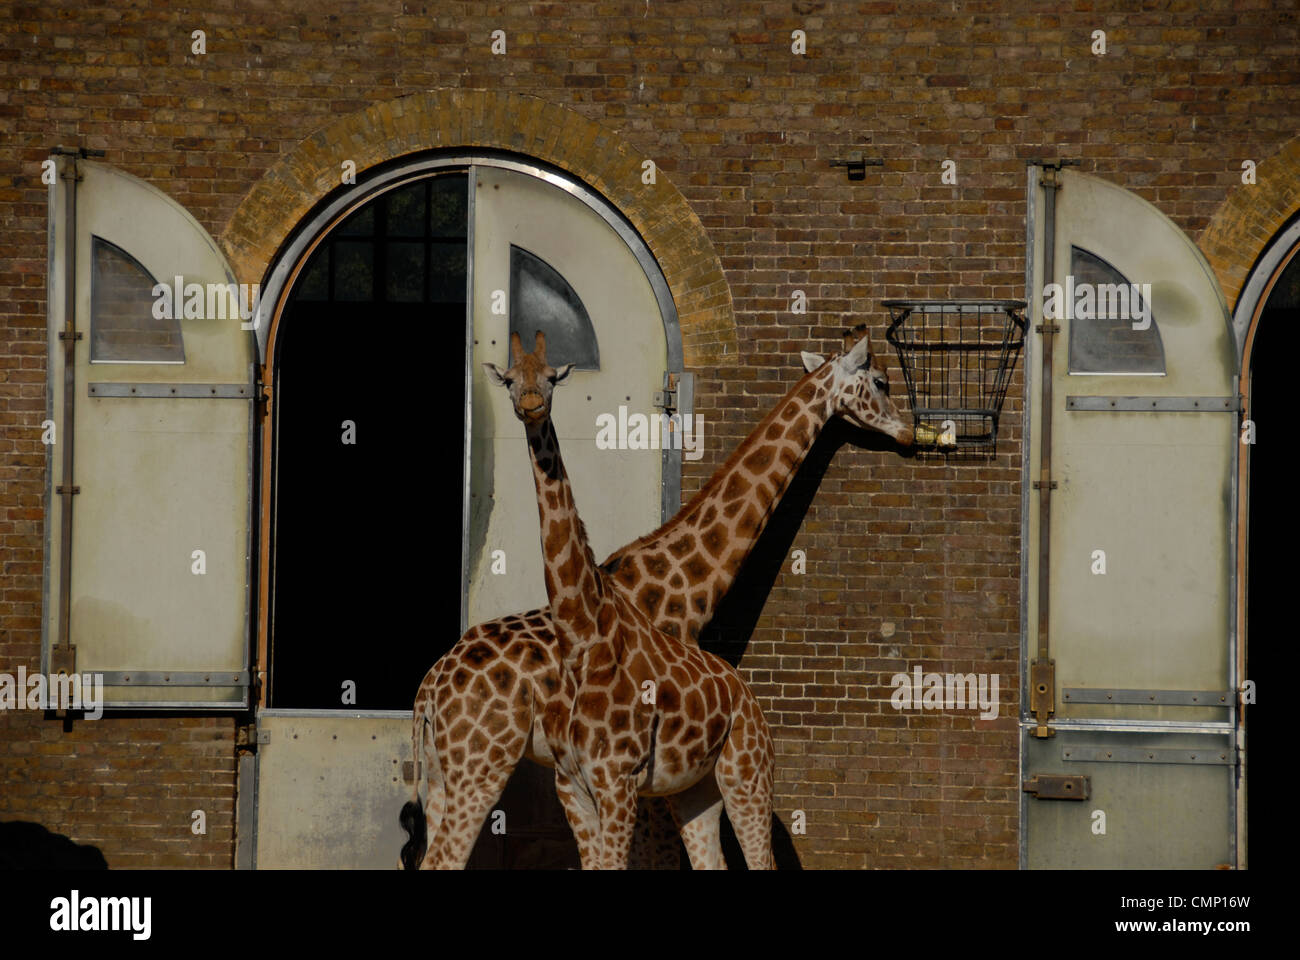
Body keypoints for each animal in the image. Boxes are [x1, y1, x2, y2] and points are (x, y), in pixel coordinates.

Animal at [400, 322, 915, 869]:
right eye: (881, 381)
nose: (907, 435)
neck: (687, 584)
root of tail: (429, 688)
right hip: (481, 763)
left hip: (442, 771)